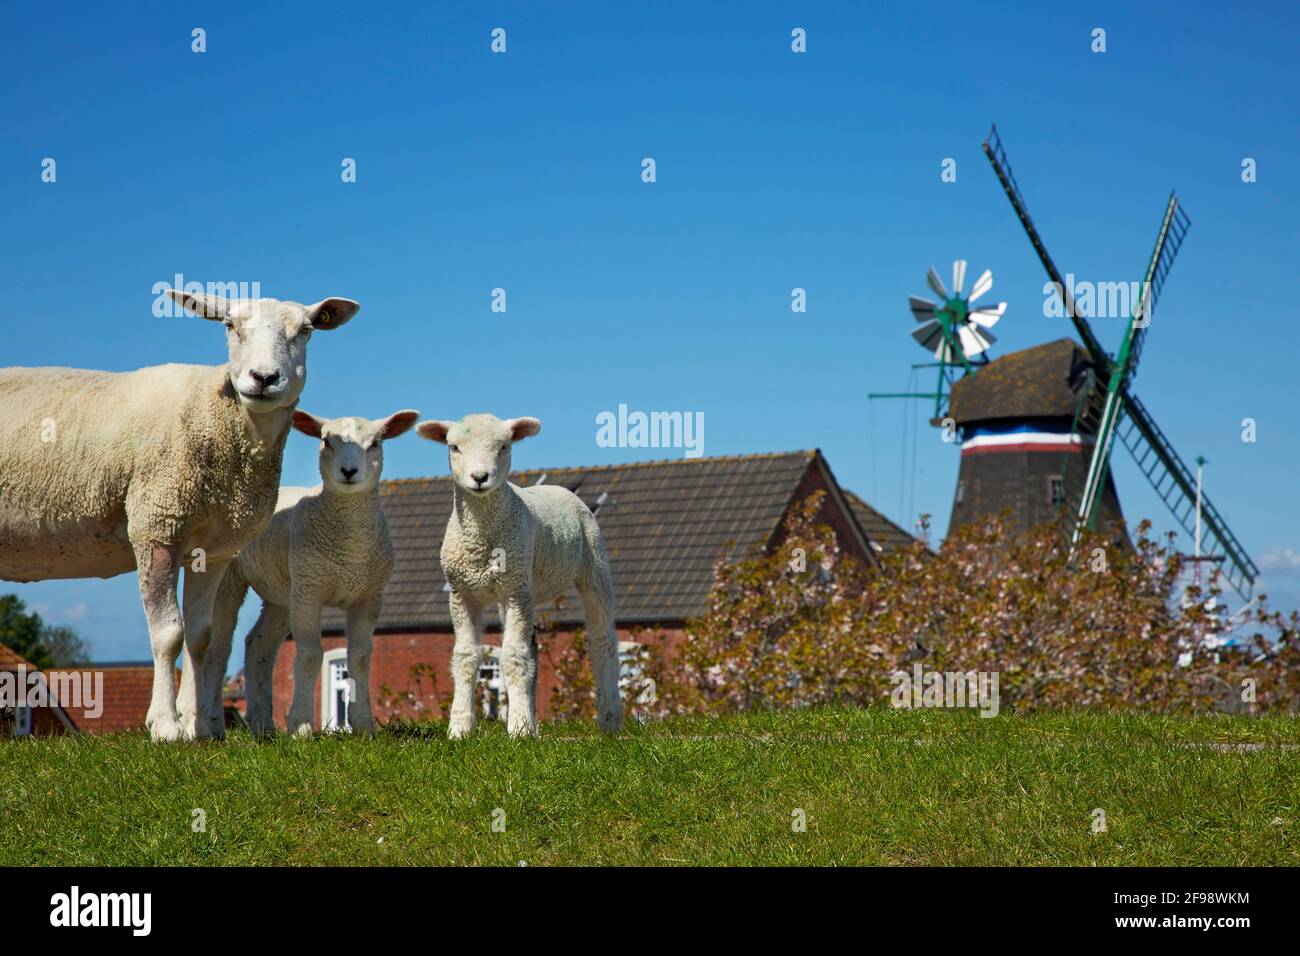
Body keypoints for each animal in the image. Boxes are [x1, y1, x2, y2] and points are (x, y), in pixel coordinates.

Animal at [0, 290, 358, 738]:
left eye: (306, 330)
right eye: (229, 326)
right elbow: (169, 634)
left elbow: (201, 636)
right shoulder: (157, 526)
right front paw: (166, 725)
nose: (263, 378)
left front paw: (198, 727)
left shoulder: (215, 550)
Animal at [200, 408, 418, 738]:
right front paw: (300, 727)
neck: (350, 549)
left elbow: (360, 658)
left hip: (282, 592)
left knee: (258, 646)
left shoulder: (368, 596)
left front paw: (364, 726)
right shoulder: (309, 592)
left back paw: (263, 727)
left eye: (375, 443)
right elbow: (310, 656)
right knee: (218, 650)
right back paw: (212, 725)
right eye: (326, 441)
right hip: (231, 578)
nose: (349, 471)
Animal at [413, 413, 621, 738]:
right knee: (531, 651)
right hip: (518, 587)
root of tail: (561, 489)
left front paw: (519, 729)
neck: (480, 538)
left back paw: (610, 719)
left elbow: (511, 656)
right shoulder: (462, 595)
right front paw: (459, 727)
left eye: (504, 446)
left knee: (603, 641)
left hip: (592, 565)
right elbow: (465, 657)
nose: (479, 477)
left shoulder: (514, 592)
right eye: (454, 447)